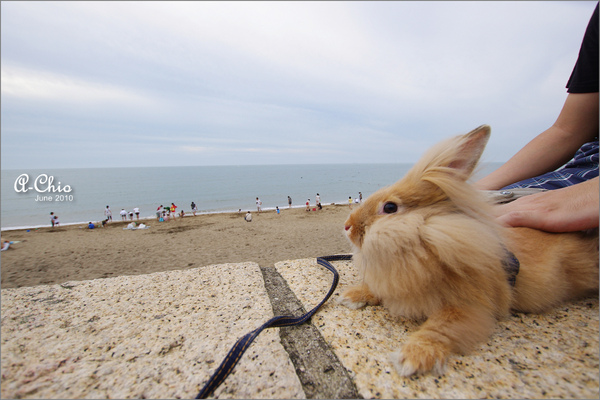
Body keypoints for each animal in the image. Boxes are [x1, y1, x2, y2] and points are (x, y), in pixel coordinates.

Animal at [340, 126, 596, 378]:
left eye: (390, 207)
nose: (347, 226)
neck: (426, 244)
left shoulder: (471, 307)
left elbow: (441, 327)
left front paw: (412, 358)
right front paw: (351, 296)